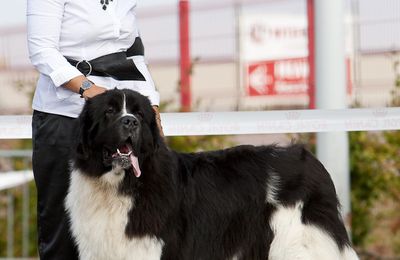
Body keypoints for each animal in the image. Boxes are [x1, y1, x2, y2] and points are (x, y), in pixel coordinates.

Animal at [65, 89, 360, 260]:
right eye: (109, 111)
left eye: (139, 113)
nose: (130, 122)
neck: (119, 185)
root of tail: (311, 160)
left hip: (298, 243)